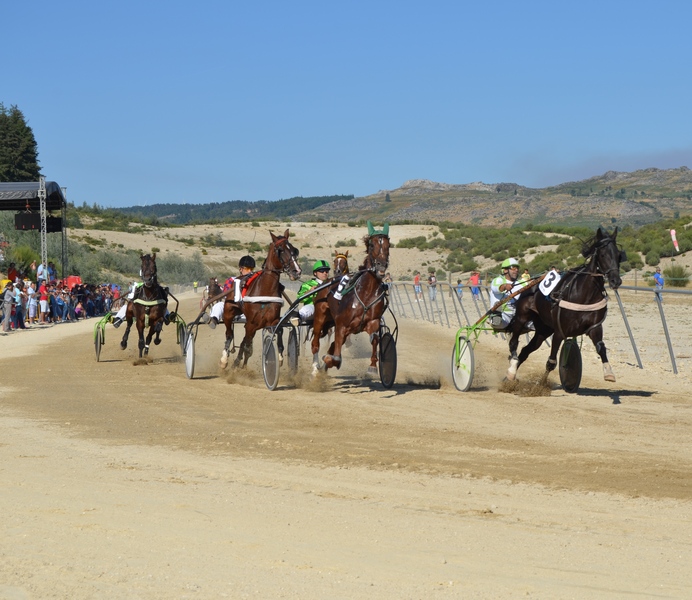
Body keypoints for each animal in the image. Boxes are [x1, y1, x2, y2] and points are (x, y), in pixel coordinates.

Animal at [219, 231, 300, 368]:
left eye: (294, 250)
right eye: (280, 250)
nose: (297, 271)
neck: (265, 290)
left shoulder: (272, 321)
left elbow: (279, 331)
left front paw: (279, 356)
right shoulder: (251, 323)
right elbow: (246, 345)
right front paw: (239, 364)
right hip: (229, 313)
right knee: (229, 334)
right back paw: (225, 360)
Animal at [502, 225, 628, 384]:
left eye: (618, 255)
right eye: (603, 254)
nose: (615, 281)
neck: (584, 295)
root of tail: (530, 285)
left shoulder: (594, 327)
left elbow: (601, 347)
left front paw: (609, 373)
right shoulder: (559, 331)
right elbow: (551, 362)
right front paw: (540, 384)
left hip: (544, 328)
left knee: (526, 350)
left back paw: (510, 375)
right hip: (522, 317)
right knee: (513, 343)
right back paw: (511, 370)